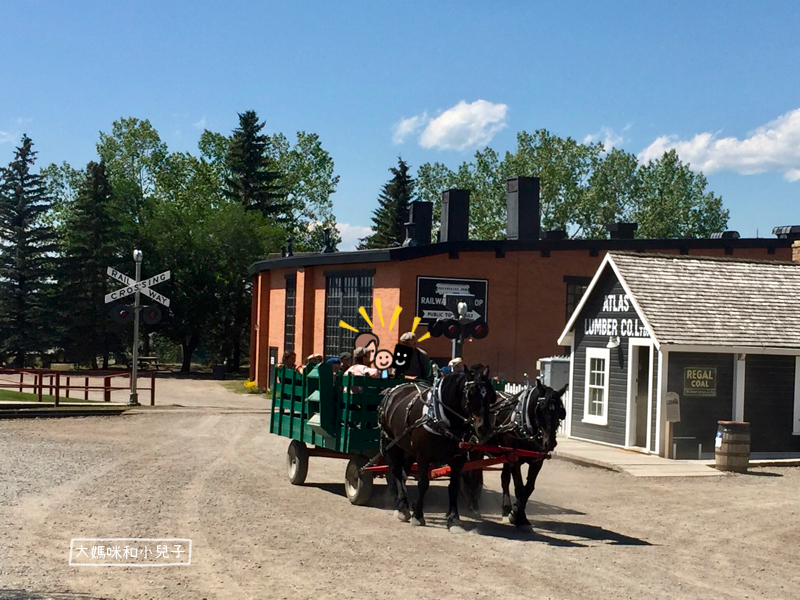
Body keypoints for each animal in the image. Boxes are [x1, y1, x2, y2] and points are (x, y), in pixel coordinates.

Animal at [378, 368, 496, 532]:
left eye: (490, 394)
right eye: (471, 394)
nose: (483, 428)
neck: (442, 419)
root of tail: (393, 390)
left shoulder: (458, 460)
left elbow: (453, 487)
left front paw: (454, 519)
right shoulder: (423, 457)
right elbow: (423, 484)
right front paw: (418, 515)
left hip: (408, 450)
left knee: (403, 472)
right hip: (392, 443)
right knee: (396, 472)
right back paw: (402, 507)